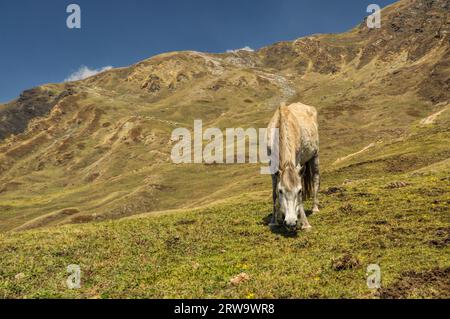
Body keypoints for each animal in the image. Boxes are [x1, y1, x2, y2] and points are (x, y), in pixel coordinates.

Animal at [268, 103, 320, 232]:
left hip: (315, 156)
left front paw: (305, 223)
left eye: (299, 191)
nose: (291, 222)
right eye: (281, 191)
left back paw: (315, 208)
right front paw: (274, 221)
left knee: (315, 180)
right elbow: (274, 194)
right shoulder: (272, 167)